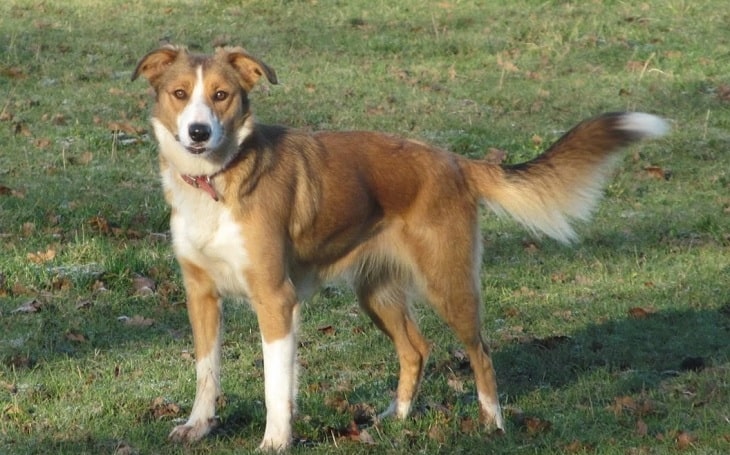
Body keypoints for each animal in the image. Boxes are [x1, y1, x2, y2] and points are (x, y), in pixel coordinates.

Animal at [131, 44, 664, 450]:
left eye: (221, 96)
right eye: (180, 94)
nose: (199, 132)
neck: (216, 181)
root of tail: (454, 161)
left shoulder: (275, 298)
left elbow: (274, 385)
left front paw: (275, 441)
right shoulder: (201, 294)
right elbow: (207, 370)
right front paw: (199, 426)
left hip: (449, 285)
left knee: (481, 352)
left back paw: (492, 423)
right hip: (377, 293)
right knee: (417, 349)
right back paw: (399, 417)